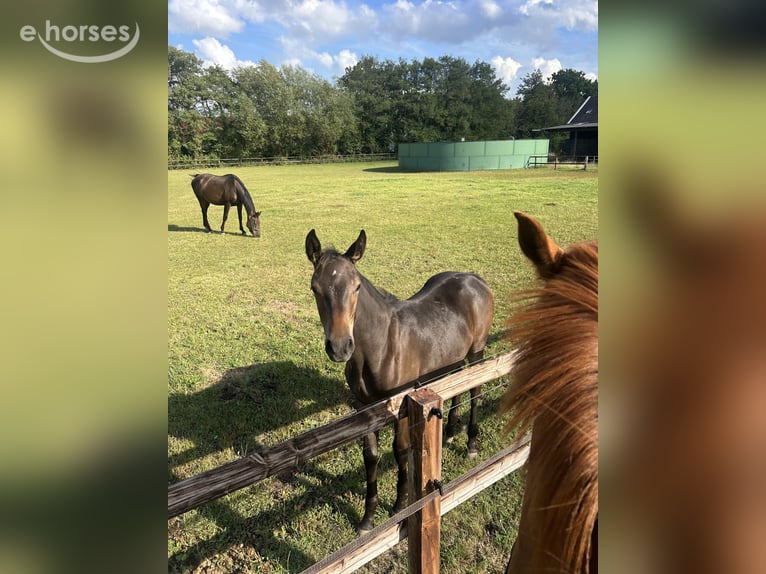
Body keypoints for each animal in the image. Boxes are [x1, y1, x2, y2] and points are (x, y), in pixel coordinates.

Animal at [305, 229, 495, 533]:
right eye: (315, 288)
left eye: (356, 287)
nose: (340, 347)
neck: (382, 345)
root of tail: (474, 278)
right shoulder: (363, 408)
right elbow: (370, 455)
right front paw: (367, 519)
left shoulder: (402, 404)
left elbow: (401, 450)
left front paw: (400, 509)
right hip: (452, 358)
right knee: (457, 384)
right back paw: (450, 431)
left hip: (477, 351)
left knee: (475, 388)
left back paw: (471, 445)